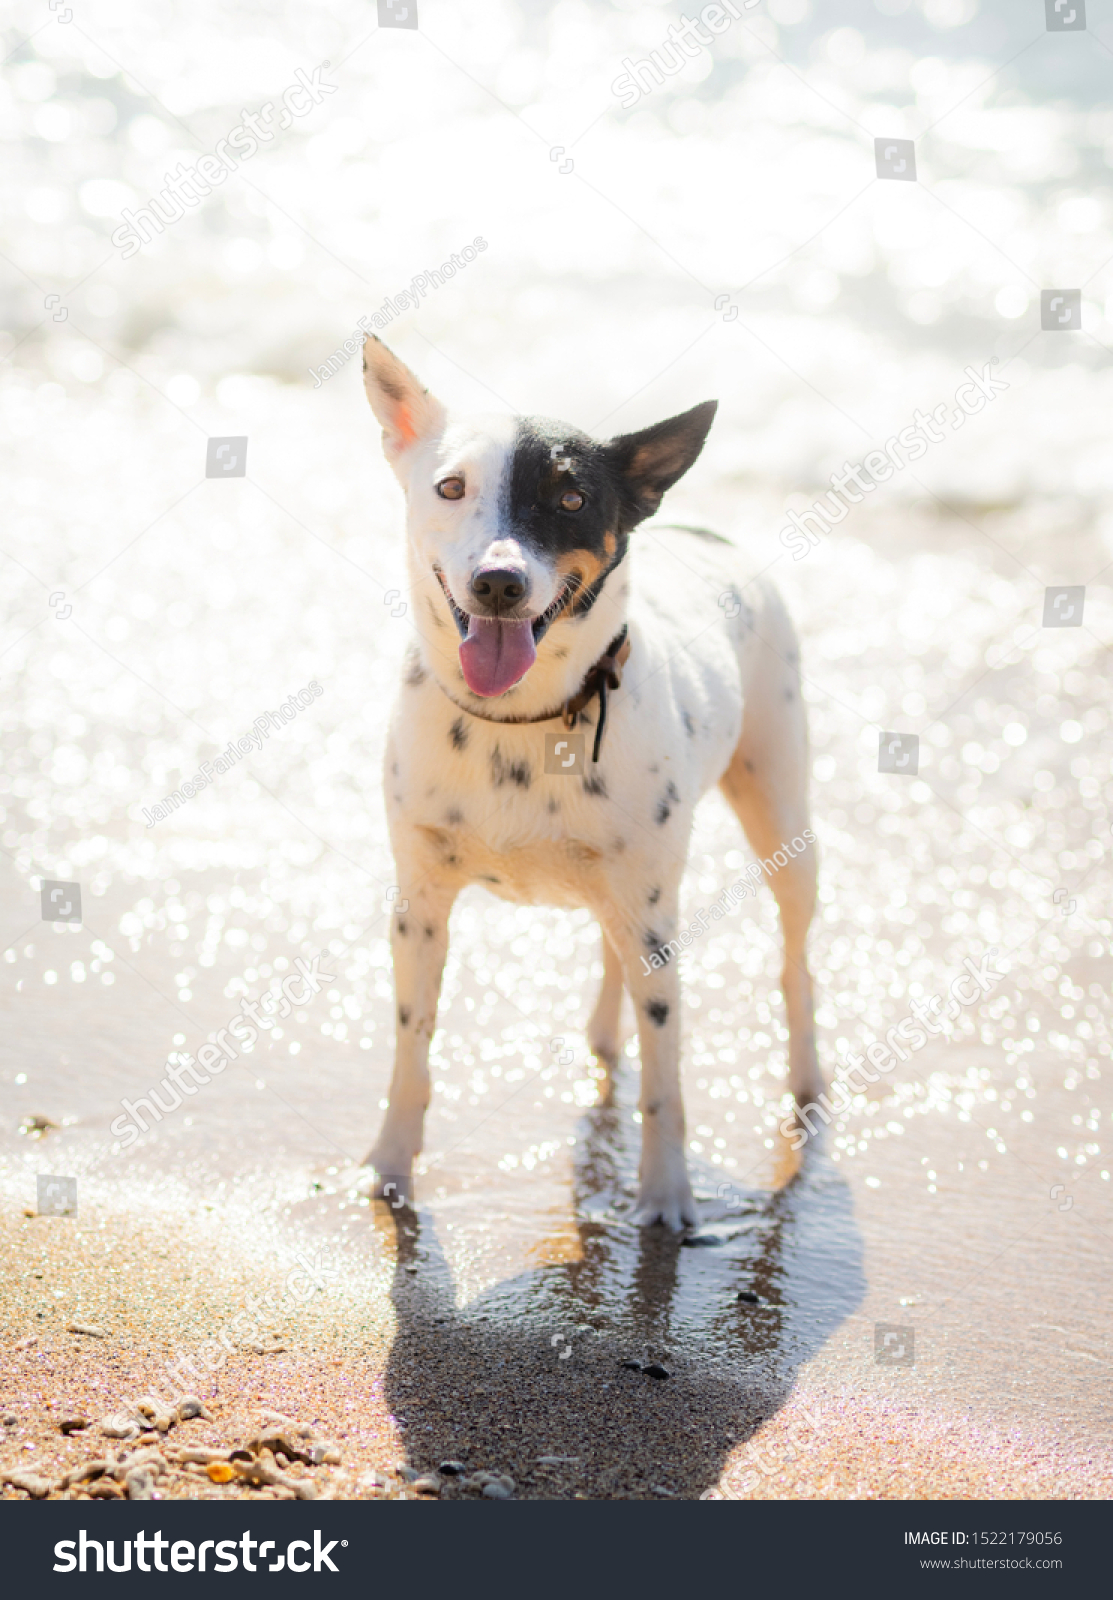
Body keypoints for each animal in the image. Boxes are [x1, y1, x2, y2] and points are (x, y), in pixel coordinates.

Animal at [361, 337, 818, 1228]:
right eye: (450, 487)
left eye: (571, 498)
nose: (497, 583)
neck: (524, 720)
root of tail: (703, 529)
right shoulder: (419, 906)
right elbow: (411, 1042)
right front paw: (391, 1168)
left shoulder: (655, 924)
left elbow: (666, 1079)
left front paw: (667, 1198)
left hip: (778, 812)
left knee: (793, 959)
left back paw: (806, 1079)